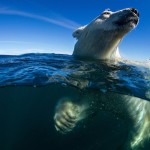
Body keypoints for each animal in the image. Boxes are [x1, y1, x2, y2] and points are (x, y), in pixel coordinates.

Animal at [53, 8, 149, 150]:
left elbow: (138, 129)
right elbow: (88, 106)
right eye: (106, 13)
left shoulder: (139, 106)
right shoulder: (98, 93)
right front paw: (64, 118)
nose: (134, 11)